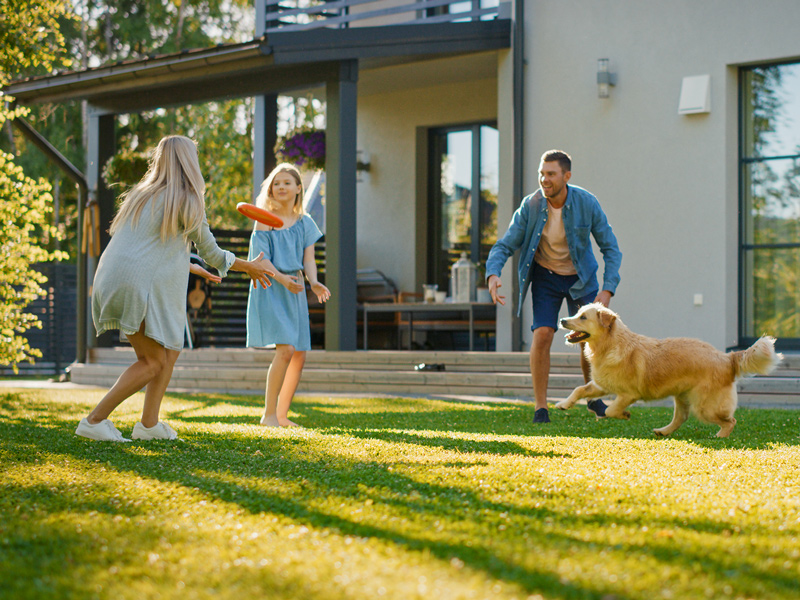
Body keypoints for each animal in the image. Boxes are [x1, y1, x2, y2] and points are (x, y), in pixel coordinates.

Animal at [556, 304, 780, 436]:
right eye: (577, 313)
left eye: (583, 317)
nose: (562, 320)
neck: (610, 344)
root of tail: (726, 357)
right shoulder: (601, 384)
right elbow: (579, 389)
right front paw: (563, 404)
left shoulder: (628, 394)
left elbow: (611, 410)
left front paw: (624, 415)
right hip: (682, 396)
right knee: (681, 417)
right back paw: (663, 431)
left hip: (705, 406)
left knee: (730, 420)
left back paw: (719, 437)